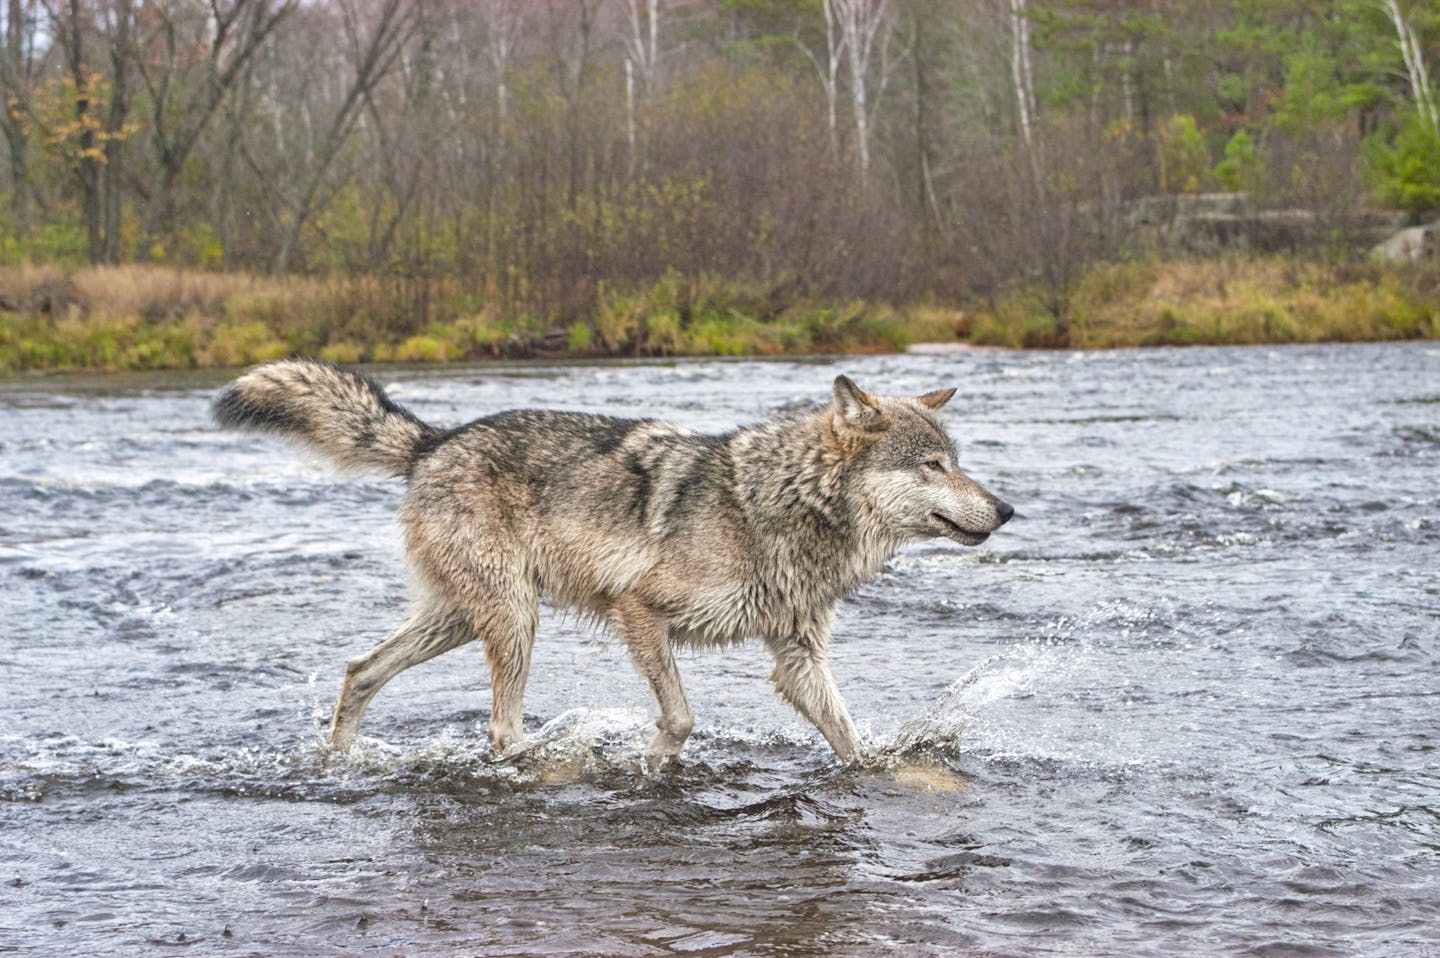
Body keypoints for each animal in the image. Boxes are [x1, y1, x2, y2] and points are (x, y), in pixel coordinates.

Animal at [218, 357, 1019, 760]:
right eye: (933, 466)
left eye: (958, 463)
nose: (1007, 509)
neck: (780, 504)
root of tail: (436, 440)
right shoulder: (639, 610)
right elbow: (683, 719)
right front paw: (651, 761)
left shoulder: (797, 657)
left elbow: (849, 740)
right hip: (515, 620)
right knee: (501, 730)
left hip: (465, 619)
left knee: (360, 671)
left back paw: (341, 760)